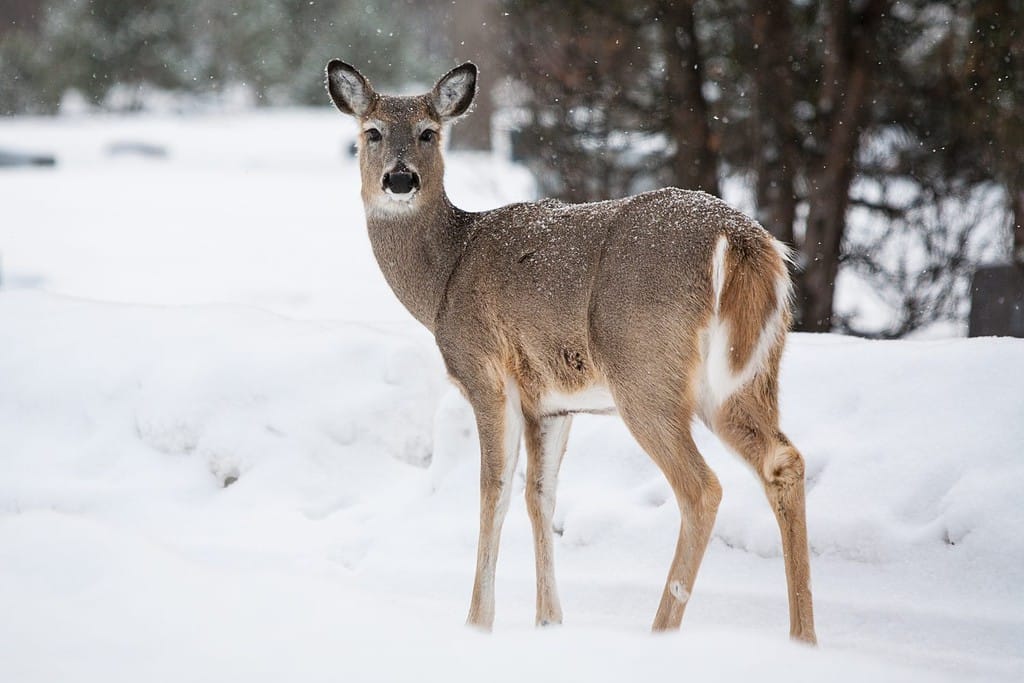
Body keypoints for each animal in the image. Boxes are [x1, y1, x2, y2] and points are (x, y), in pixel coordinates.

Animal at [325, 59, 817, 644]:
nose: (400, 179)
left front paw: (478, 622)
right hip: (749, 373)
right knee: (784, 460)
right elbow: (540, 496)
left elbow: (494, 492)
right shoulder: (551, 403)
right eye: (372, 132)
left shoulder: (486, 372)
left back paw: (661, 630)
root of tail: (743, 242)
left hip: (644, 367)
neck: (445, 276)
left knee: (702, 488)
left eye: (429, 133)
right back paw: (804, 638)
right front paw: (549, 620)